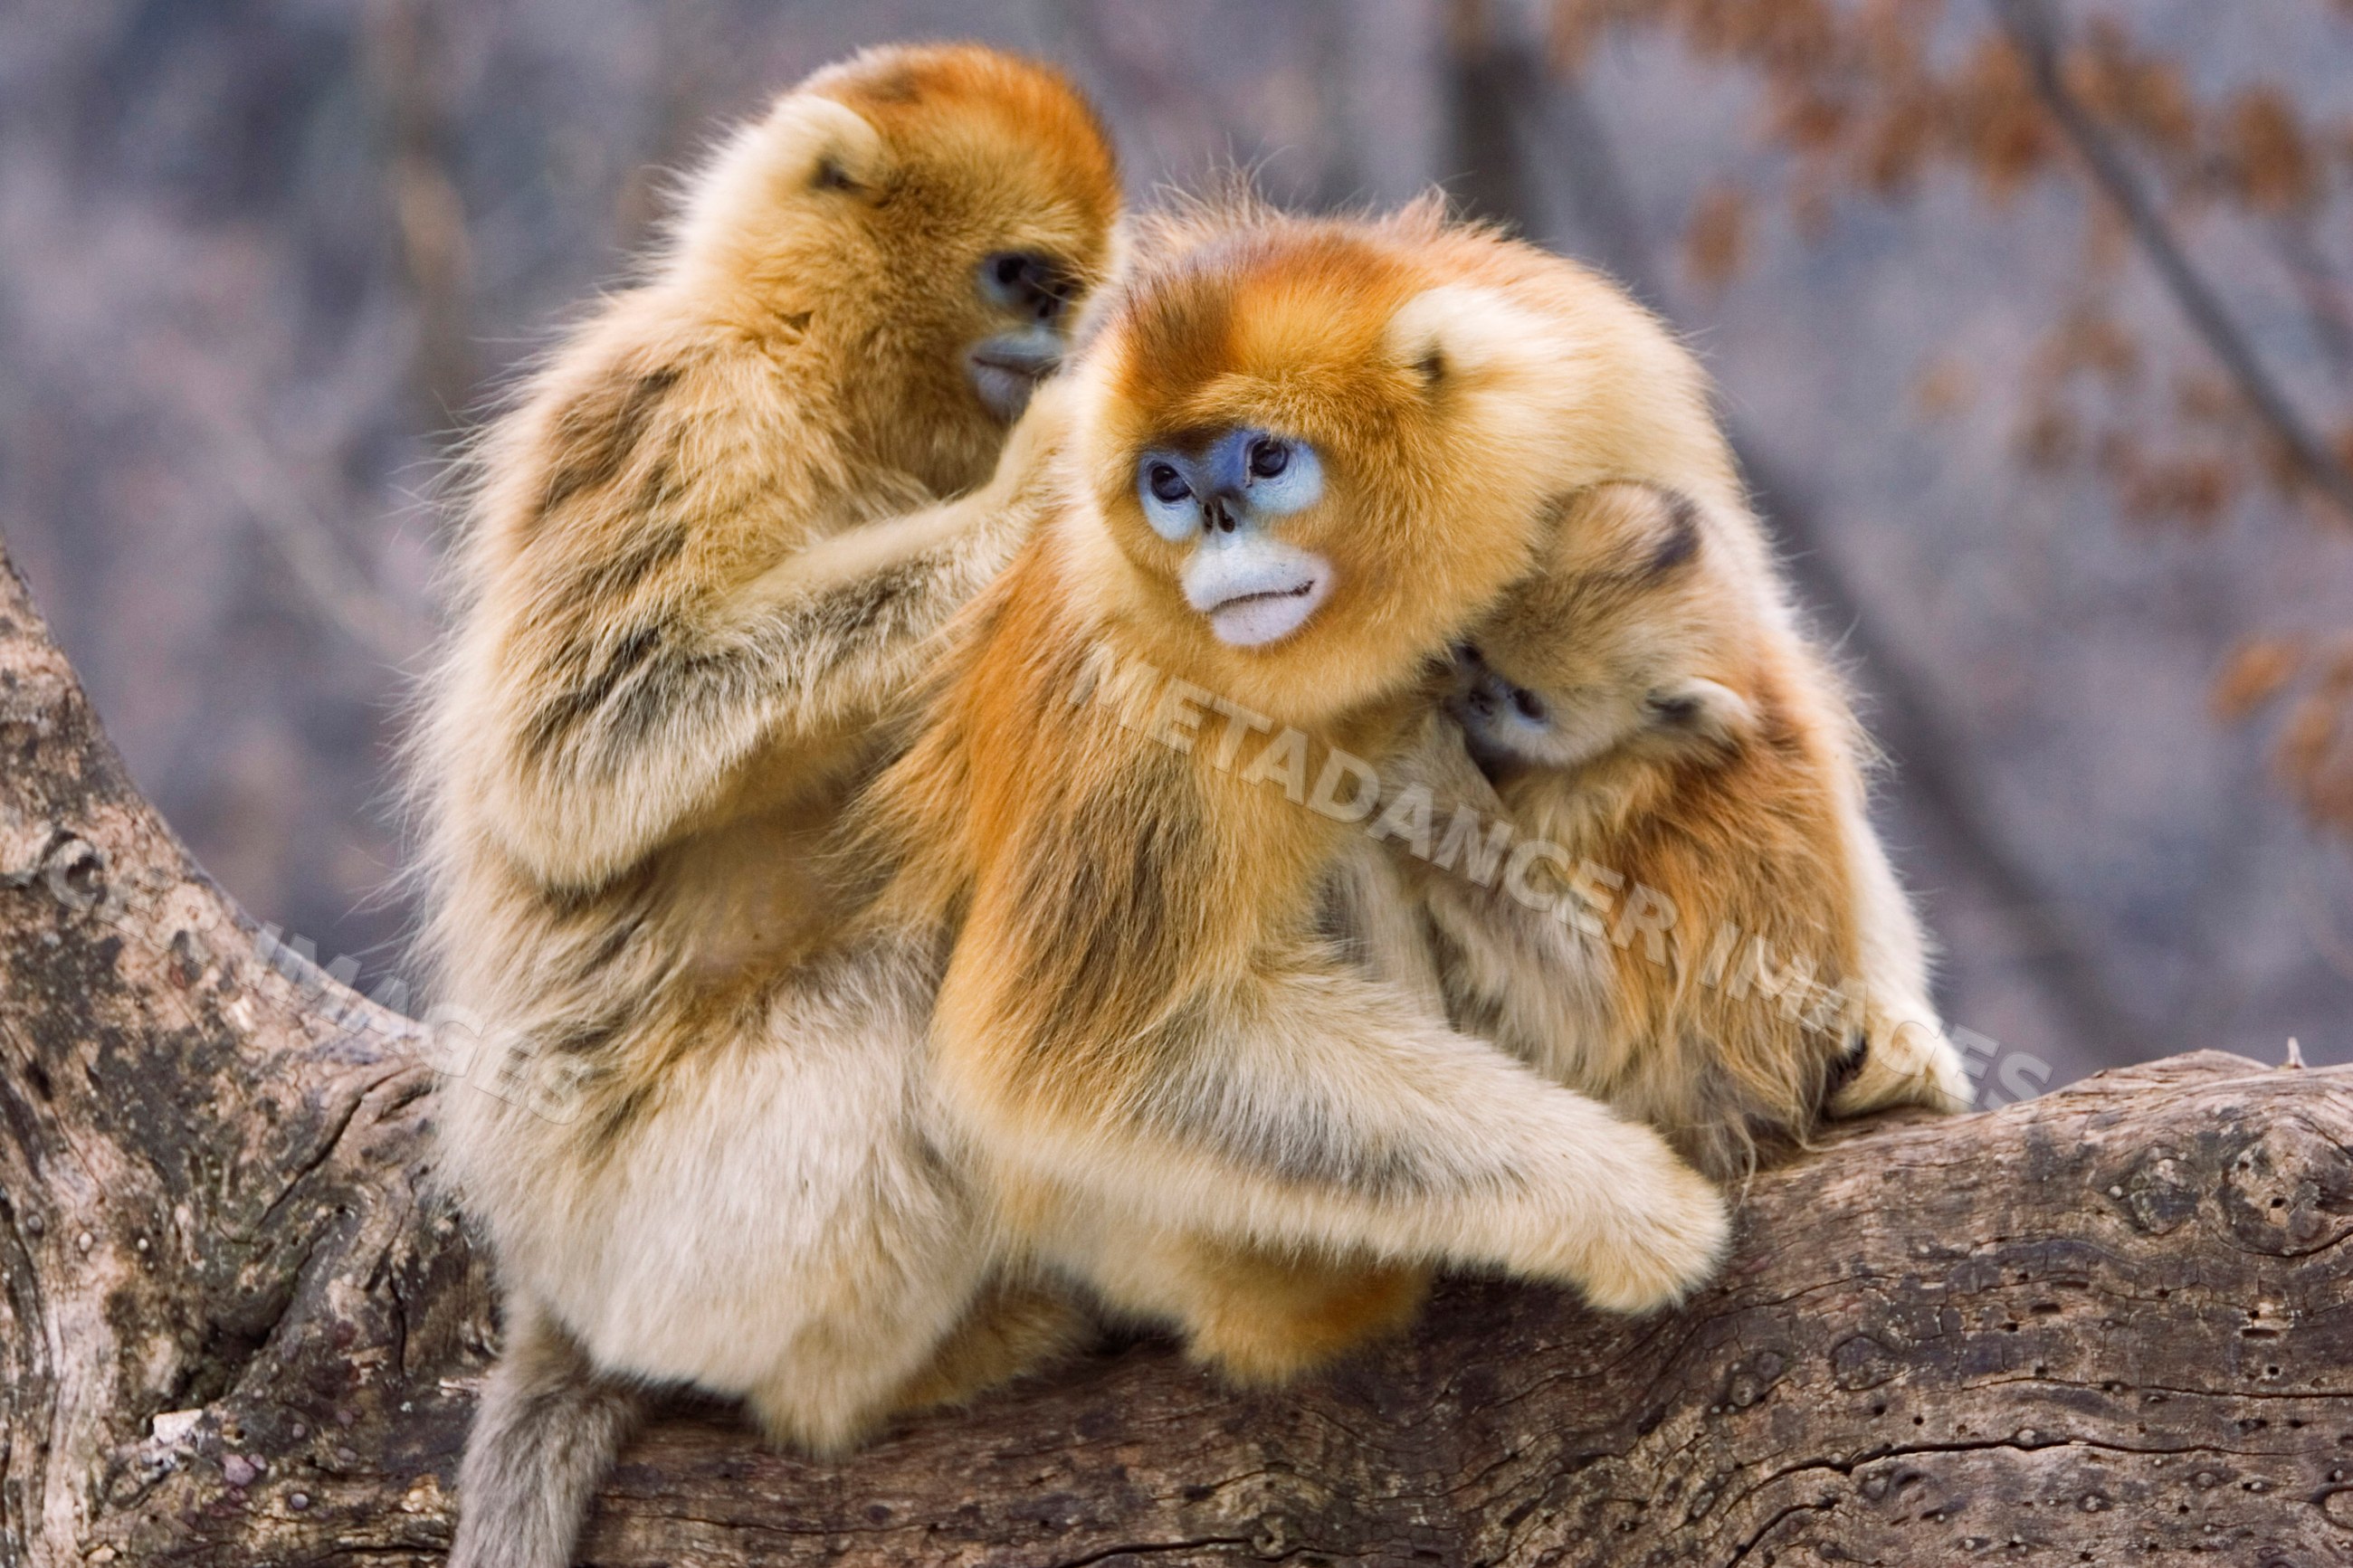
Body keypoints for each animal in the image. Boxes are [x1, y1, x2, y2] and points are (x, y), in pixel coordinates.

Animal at [407, 45, 1119, 1568]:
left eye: (1069, 293)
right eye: (1020, 279)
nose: (1048, 350)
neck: (805, 364)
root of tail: (552, 1292)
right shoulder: (692, 409)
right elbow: (576, 771)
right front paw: (1044, 483)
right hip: (671, 1239)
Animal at [854, 197, 1741, 1389]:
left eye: (1266, 458)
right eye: (1166, 484)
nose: (1215, 522)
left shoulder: (1601, 379)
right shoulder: (1124, 658)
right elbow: (1074, 1059)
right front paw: (1627, 1206)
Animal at [1348, 480, 1972, 1184]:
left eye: (1527, 702)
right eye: (1476, 655)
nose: (1477, 698)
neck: (1643, 755)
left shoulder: (1594, 799)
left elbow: (1601, 1018)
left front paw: (1423, 772)